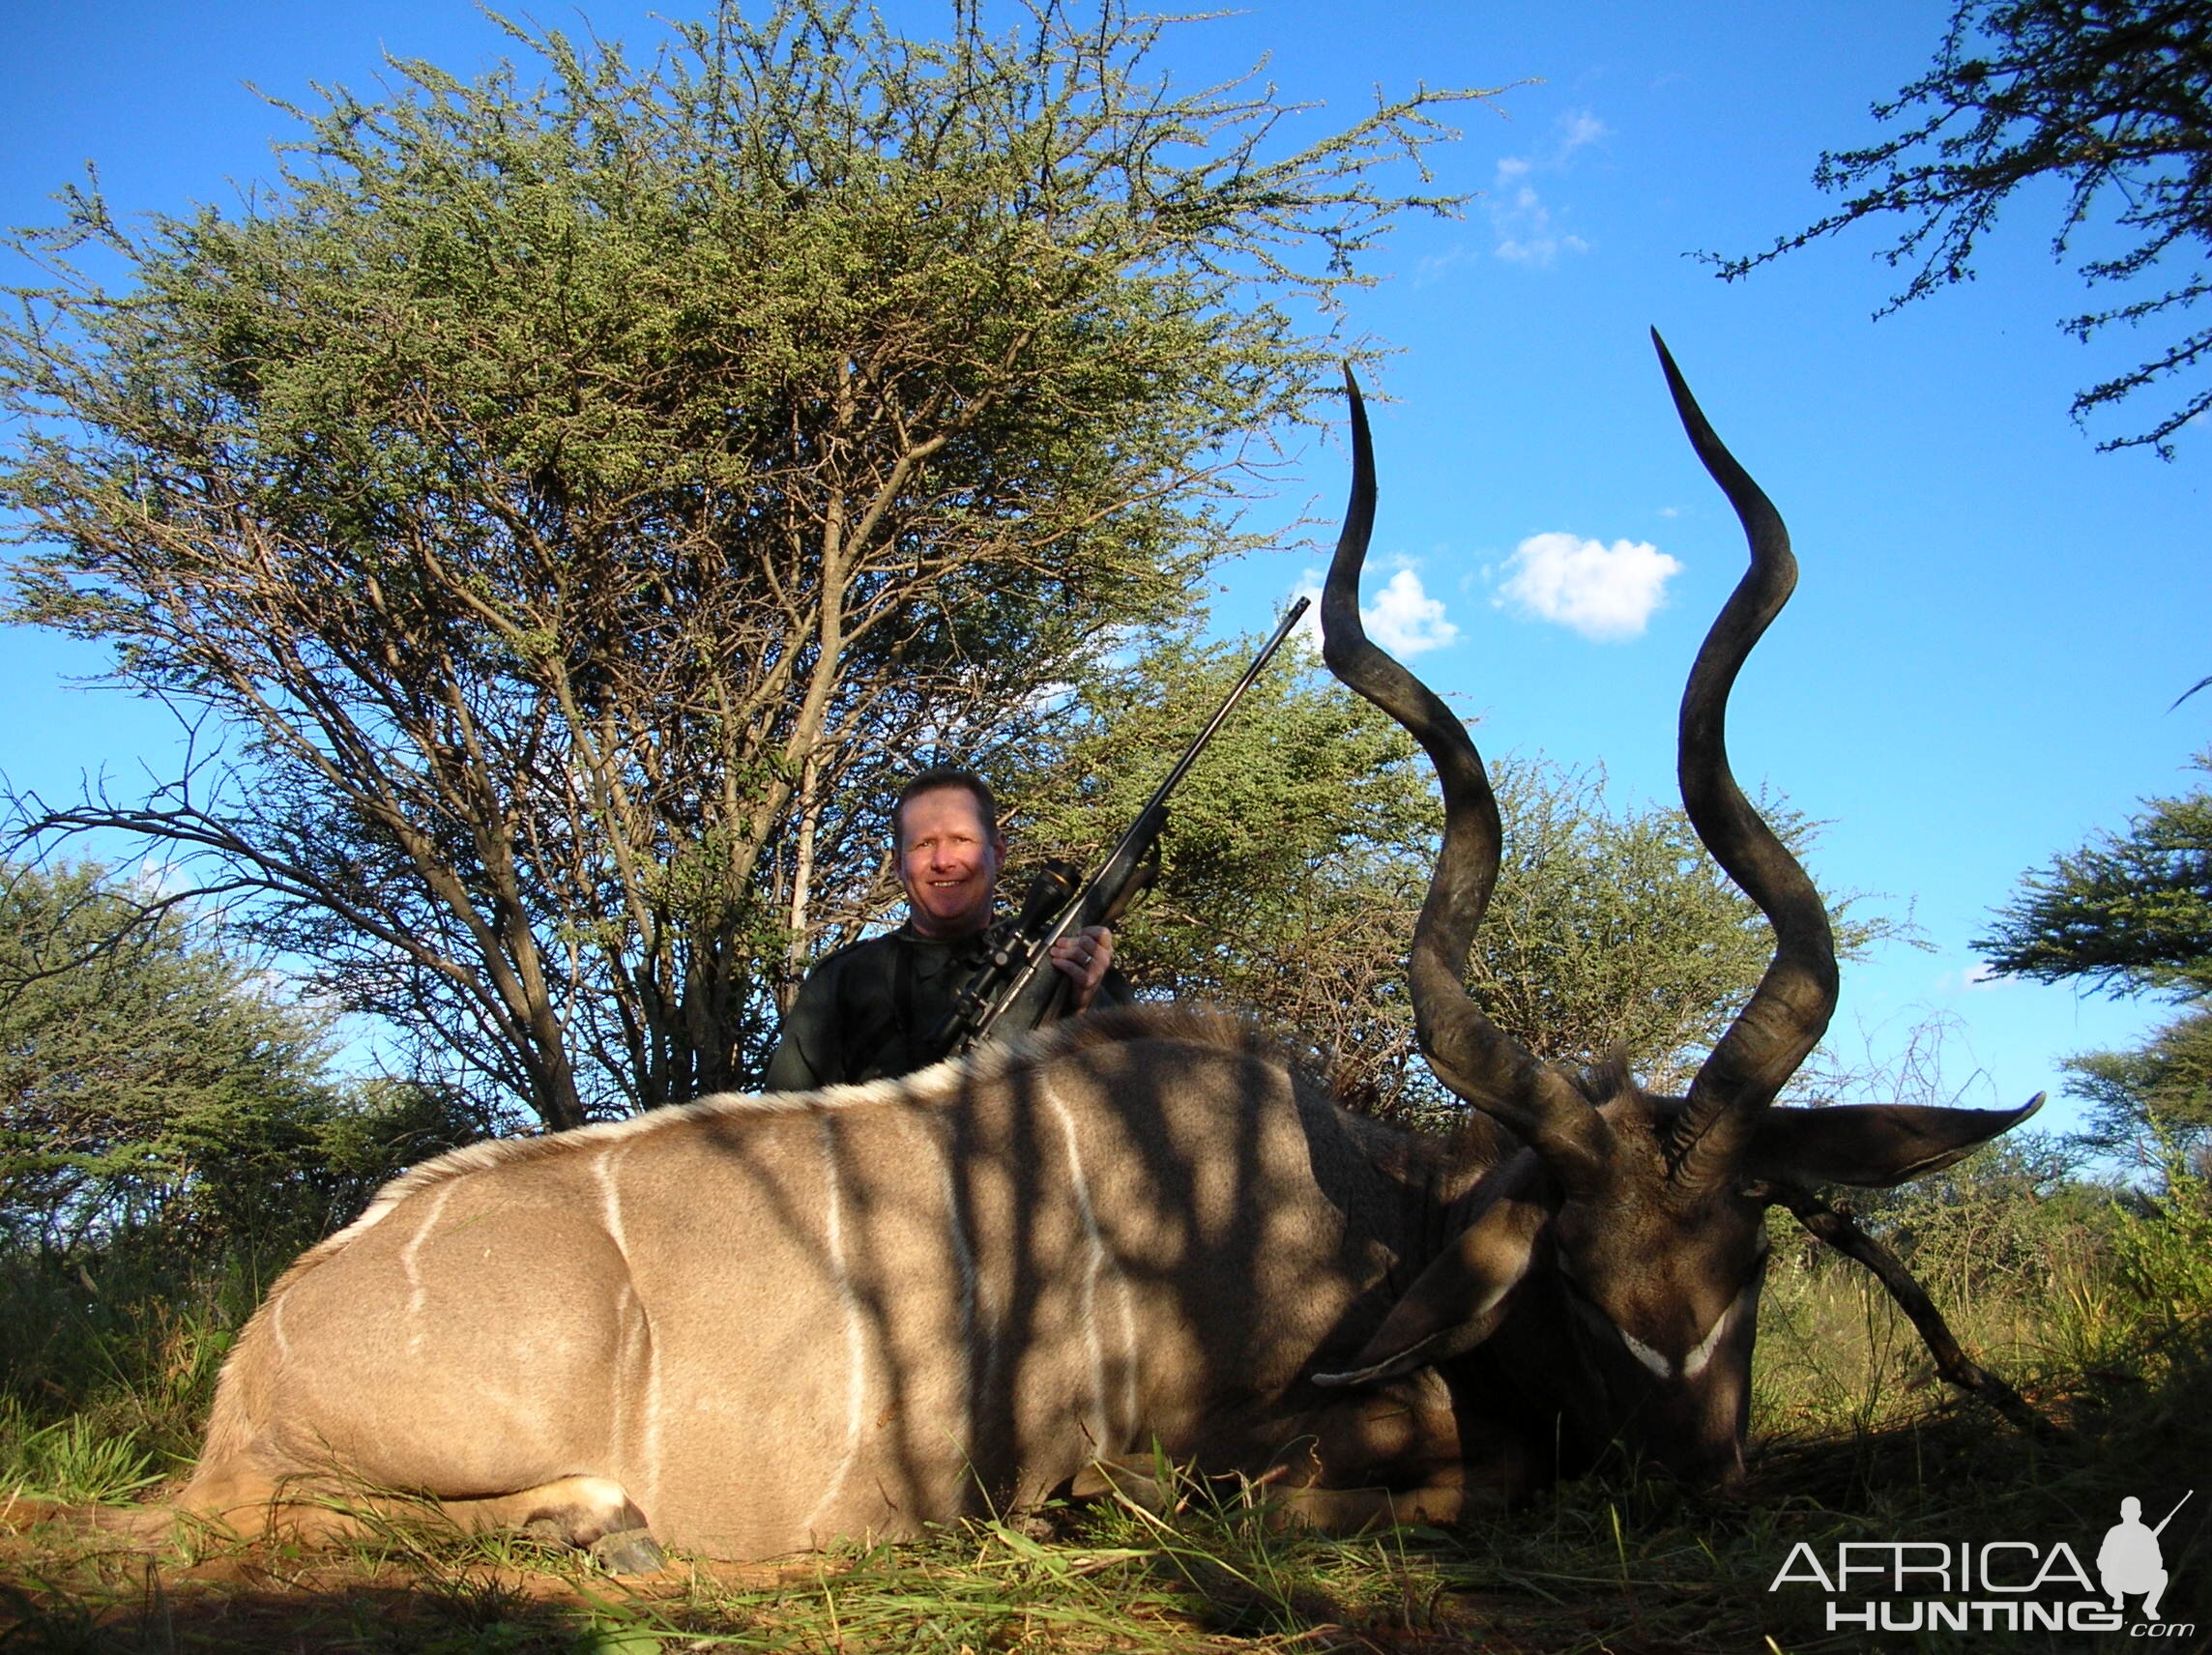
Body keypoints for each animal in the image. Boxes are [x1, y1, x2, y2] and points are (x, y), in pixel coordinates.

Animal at [163, 338, 2025, 1566]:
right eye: (1568, 1268)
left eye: (1752, 1249)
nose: (1700, 1483)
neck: (1356, 1203)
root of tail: (259, 1354)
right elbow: (1409, 1460)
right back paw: (602, 1530)